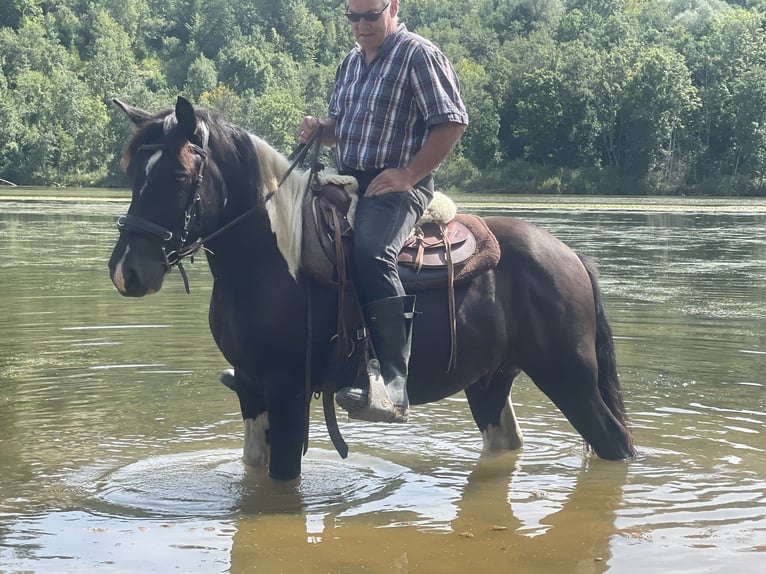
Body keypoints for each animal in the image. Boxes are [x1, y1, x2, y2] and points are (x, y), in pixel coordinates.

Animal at [108, 98, 636, 482]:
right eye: (132, 172)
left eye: (178, 175)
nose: (126, 271)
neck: (270, 259)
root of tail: (570, 256)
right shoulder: (251, 388)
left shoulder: (286, 390)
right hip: (490, 380)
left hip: (570, 378)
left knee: (615, 443)